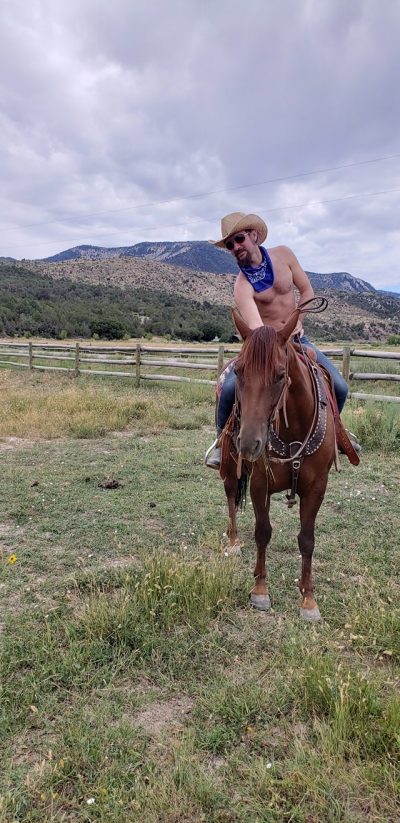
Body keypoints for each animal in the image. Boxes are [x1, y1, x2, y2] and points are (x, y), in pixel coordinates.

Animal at [220, 306, 336, 620]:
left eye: (281, 375)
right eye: (239, 371)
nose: (249, 443)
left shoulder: (316, 489)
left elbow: (307, 540)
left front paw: (308, 600)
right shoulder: (260, 484)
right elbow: (263, 532)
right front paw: (260, 590)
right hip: (229, 466)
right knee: (231, 495)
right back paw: (233, 541)